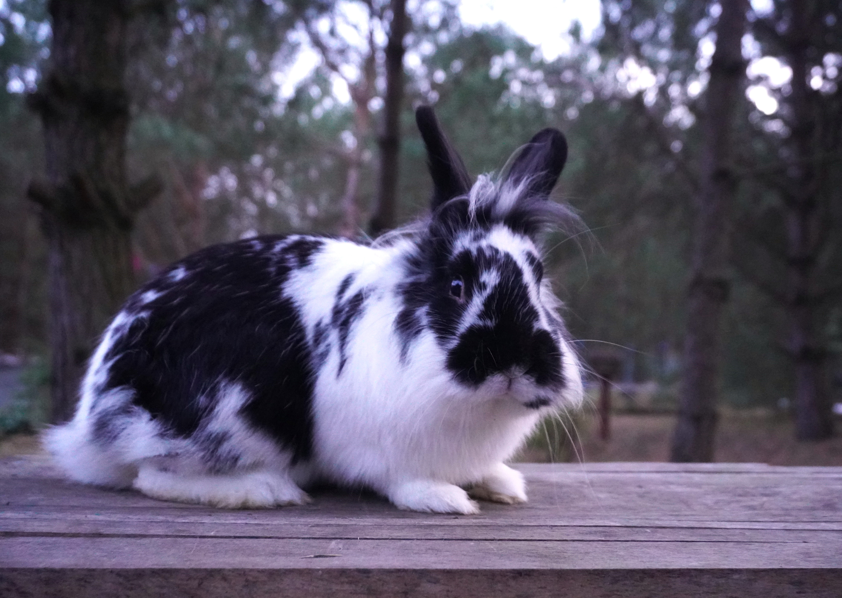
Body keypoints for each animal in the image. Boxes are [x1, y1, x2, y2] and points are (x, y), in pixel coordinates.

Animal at [44, 106, 584, 514]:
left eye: (538, 279)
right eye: (455, 286)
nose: (513, 363)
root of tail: (91, 410)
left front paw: (503, 484)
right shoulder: (381, 448)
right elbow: (402, 481)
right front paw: (445, 499)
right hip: (223, 420)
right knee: (151, 475)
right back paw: (265, 489)